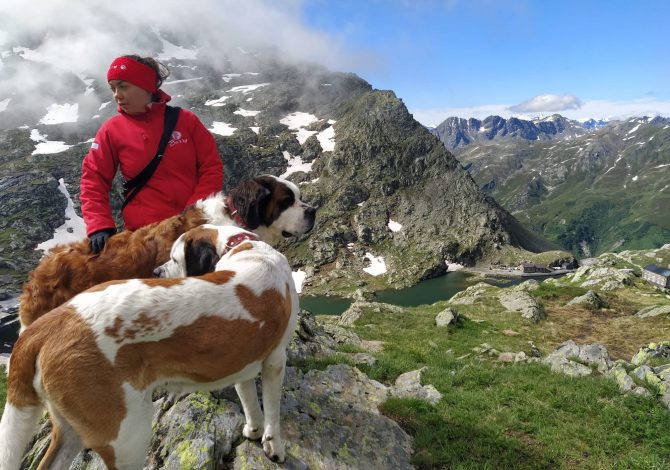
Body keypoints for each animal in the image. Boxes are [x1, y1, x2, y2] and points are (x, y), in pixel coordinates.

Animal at [0, 225, 300, 470]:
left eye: (175, 259)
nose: (156, 271)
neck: (241, 246)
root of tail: (50, 323)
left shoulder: (242, 363)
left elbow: (249, 400)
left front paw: (253, 429)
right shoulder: (275, 361)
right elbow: (272, 410)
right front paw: (274, 447)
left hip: (71, 430)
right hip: (128, 435)